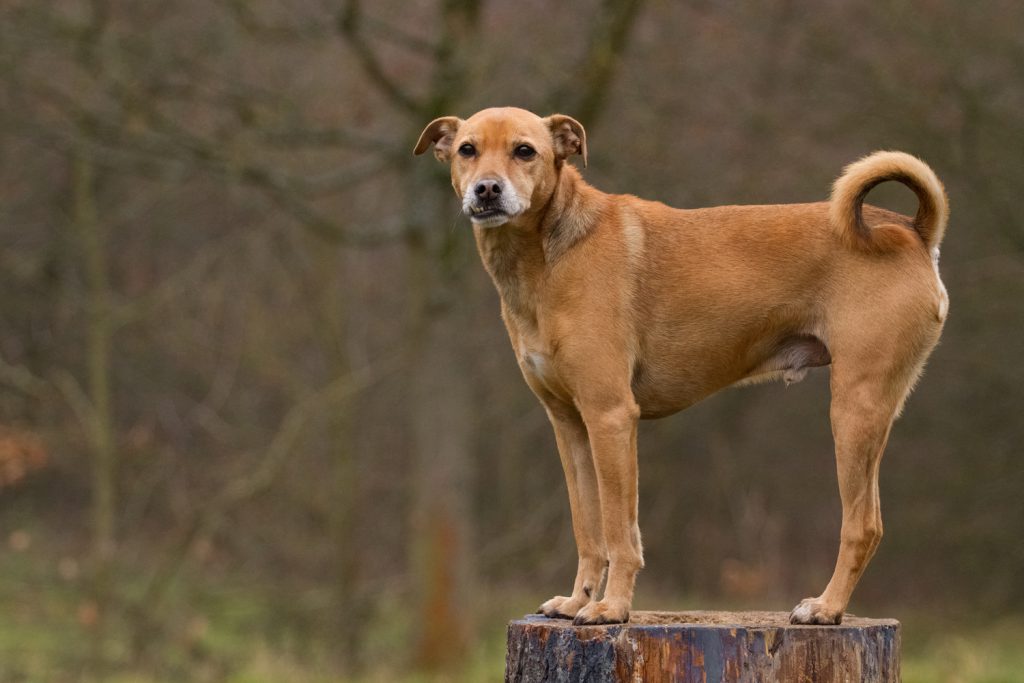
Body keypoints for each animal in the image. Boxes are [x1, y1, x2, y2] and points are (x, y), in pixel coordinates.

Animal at [411, 107, 946, 626]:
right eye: (467, 150)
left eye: (525, 151)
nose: (487, 190)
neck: (548, 253)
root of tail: (911, 229)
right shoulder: (570, 425)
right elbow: (588, 529)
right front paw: (577, 600)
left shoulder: (611, 417)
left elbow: (620, 531)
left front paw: (610, 608)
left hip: (855, 409)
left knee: (863, 525)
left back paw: (827, 607)